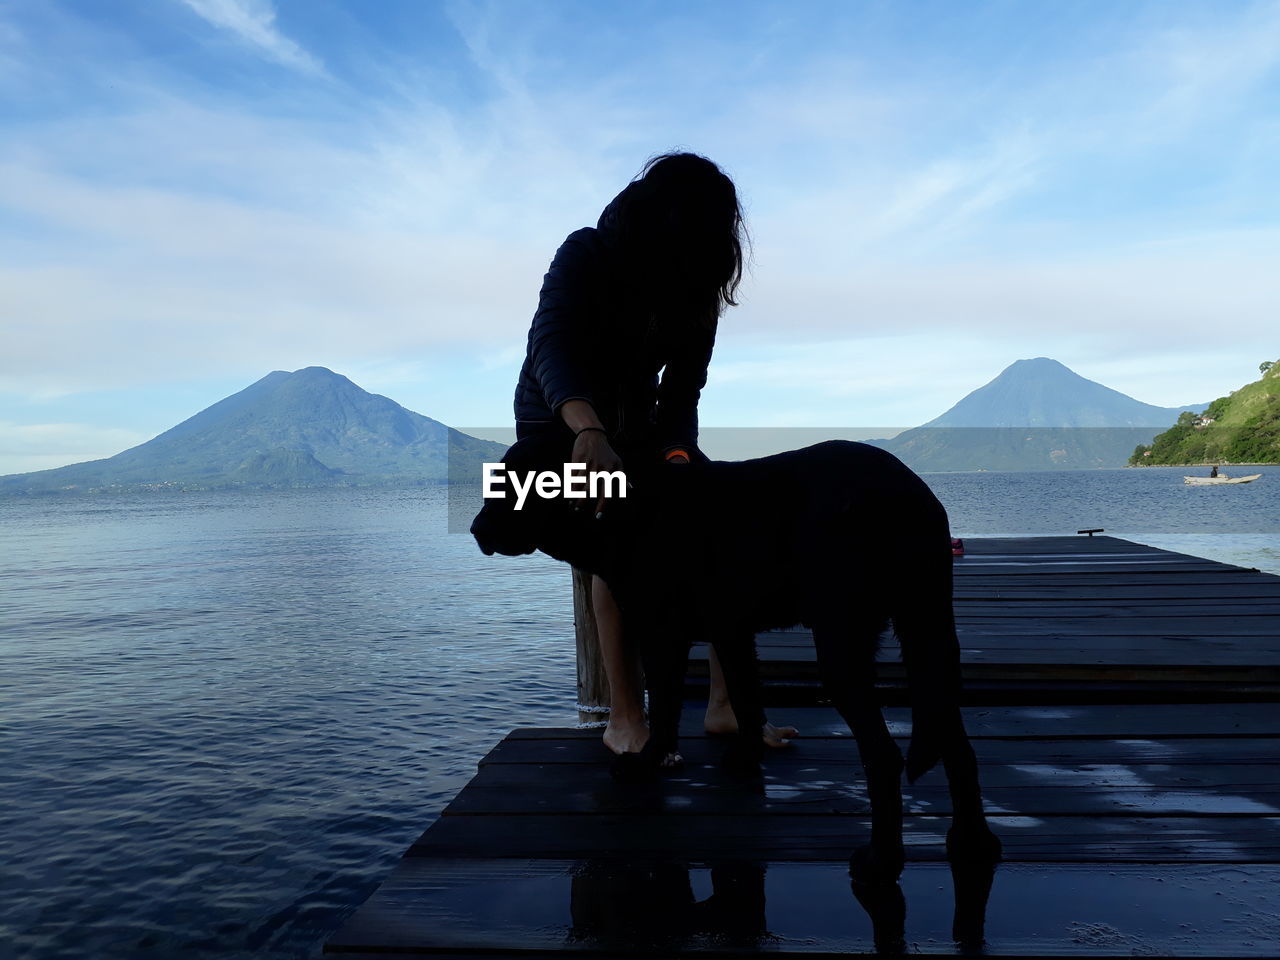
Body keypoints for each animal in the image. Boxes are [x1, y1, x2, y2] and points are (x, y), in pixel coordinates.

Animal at [471, 440, 998, 885]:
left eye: (517, 483)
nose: (475, 529)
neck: (624, 511)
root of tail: (910, 493)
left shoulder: (663, 633)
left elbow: (666, 709)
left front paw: (645, 764)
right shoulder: (731, 632)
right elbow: (745, 699)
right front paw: (747, 757)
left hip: (842, 643)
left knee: (884, 756)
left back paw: (881, 861)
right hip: (926, 631)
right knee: (958, 746)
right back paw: (971, 842)